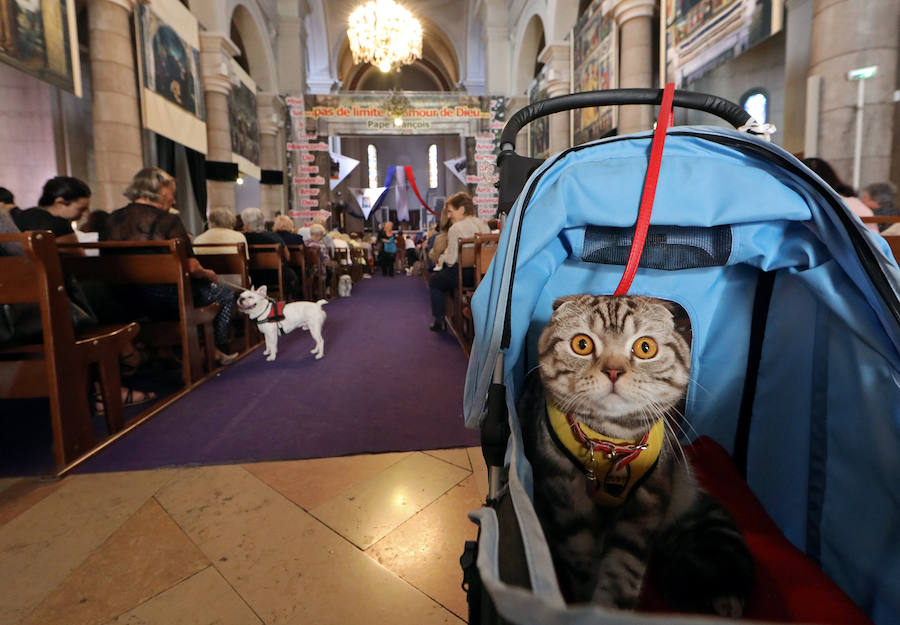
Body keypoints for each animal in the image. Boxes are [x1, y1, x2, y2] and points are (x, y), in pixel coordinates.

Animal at [520, 294, 752, 616]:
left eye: (645, 348)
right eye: (582, 344)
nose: (613, 370)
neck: (612, 441)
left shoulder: (646, 508)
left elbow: (623, 571)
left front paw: (608, 609)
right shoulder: (566, 507)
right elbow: (582, 566)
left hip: (681, 499)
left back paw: (724, 597)